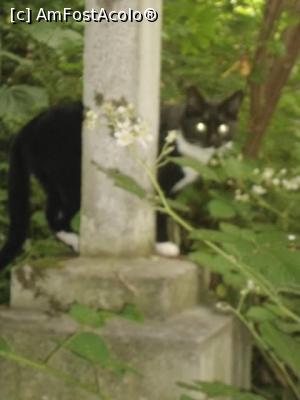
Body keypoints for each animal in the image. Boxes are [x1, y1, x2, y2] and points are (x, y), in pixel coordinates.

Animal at [0, 86, 243, 268]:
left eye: (223, 127)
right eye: (200, 125)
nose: (214, 140)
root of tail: (29, 126)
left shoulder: (173, 194)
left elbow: (168, 213)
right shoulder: (159, 186)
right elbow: (160, 216)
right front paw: (164, 245)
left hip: (52, 179)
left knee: (51, 212)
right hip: (71, 179)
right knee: (57, 215)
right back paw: (77, 240)